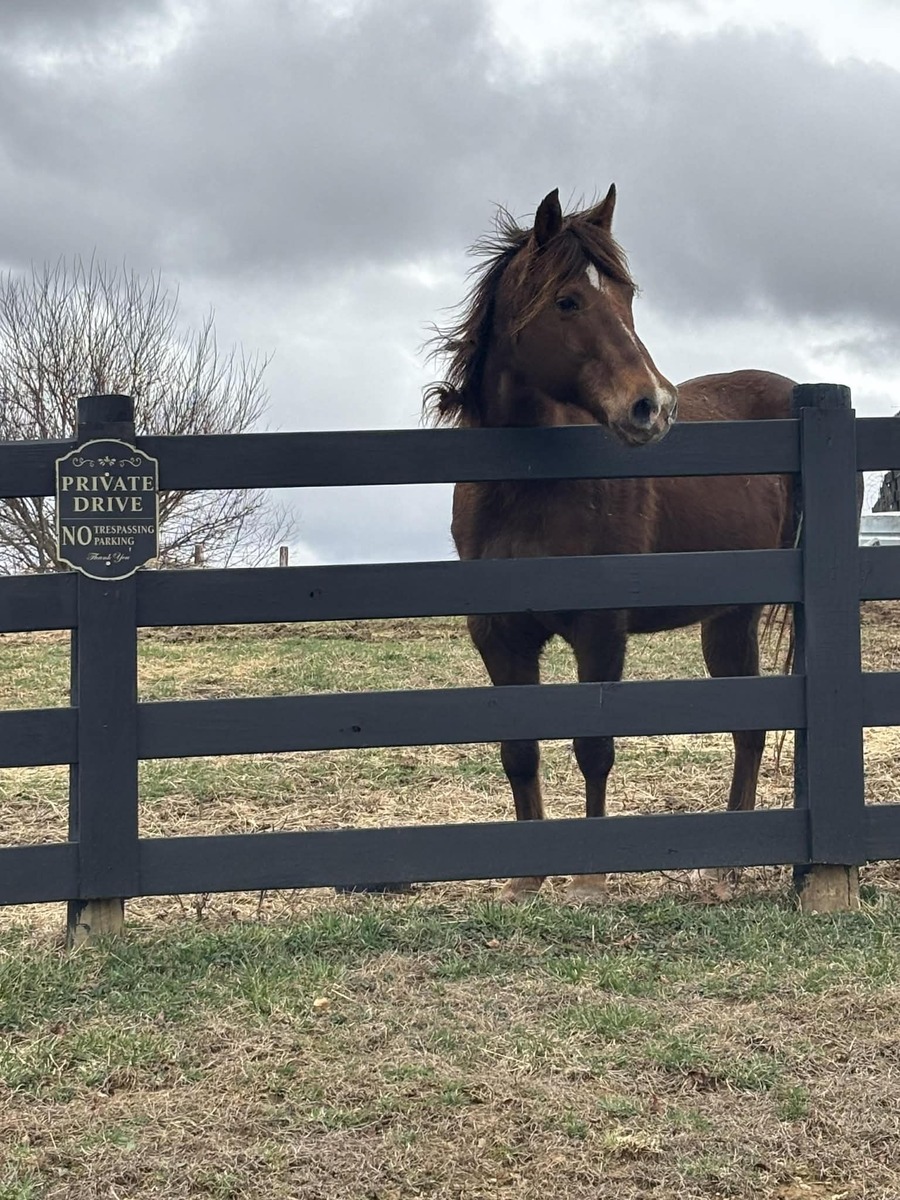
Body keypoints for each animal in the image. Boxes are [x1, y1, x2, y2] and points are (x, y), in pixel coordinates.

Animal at [425, 186, 794, 903]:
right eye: (568, 301)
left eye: (626, 297)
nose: (653, 406)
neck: (527, 484)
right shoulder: (498, 634)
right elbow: (519, 752)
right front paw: (526, 879)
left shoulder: (600, 630)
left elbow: (593, 748)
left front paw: (590, 879)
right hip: (727, 619)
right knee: (748, 724)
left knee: (752, 726)